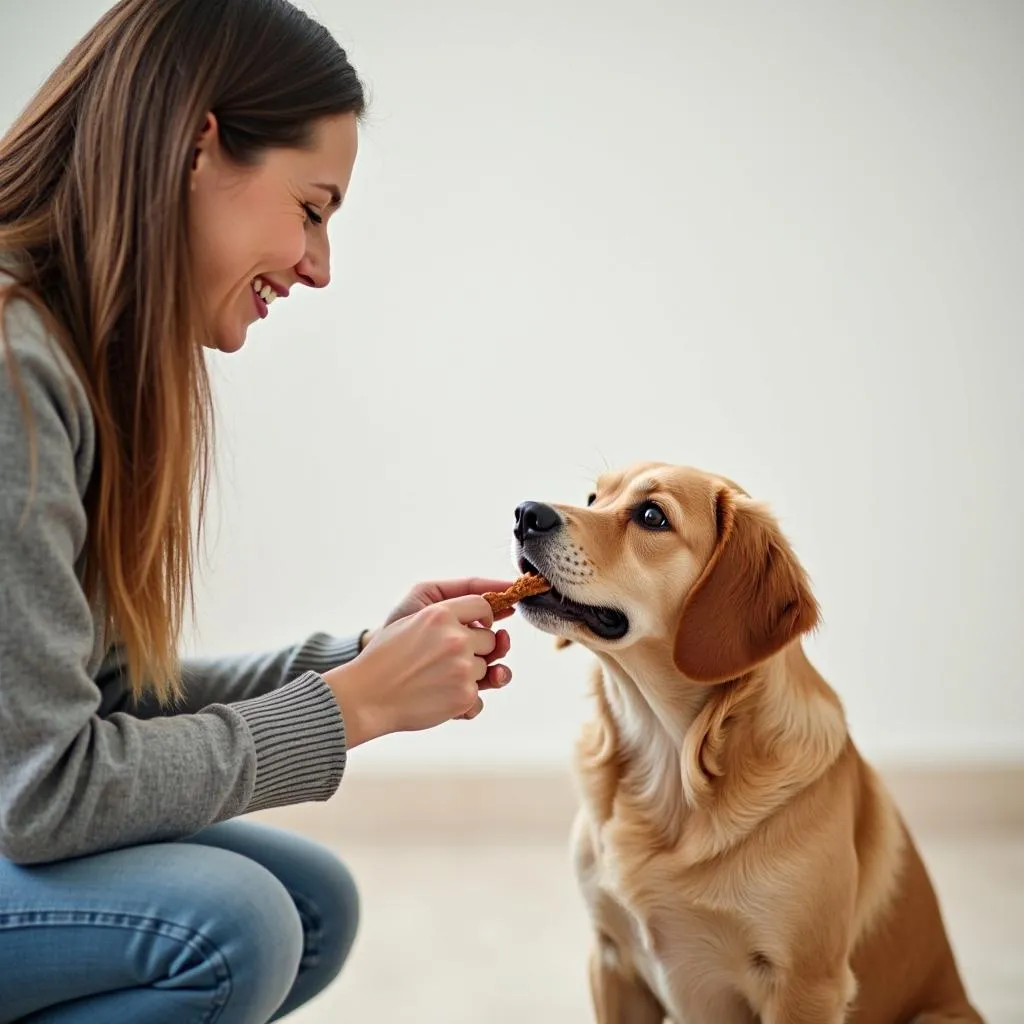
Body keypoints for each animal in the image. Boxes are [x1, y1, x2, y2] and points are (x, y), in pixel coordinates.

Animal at [512, 464, 983, 1024]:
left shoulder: (805, 985)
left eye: (652, 515)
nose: (526, 513)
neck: (669, 760)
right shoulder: (610, 958)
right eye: (592, 497)